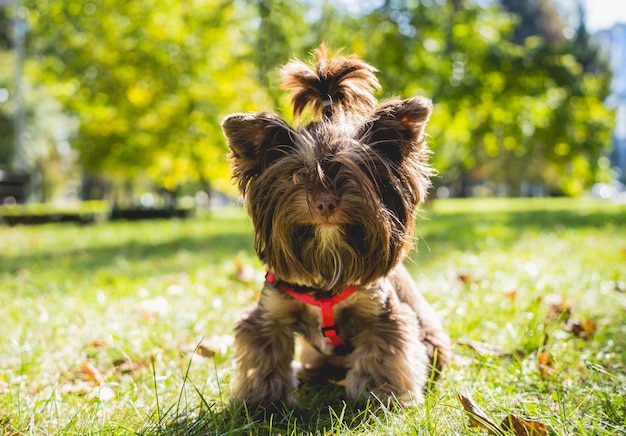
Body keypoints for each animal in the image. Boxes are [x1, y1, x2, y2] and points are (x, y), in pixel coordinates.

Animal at [219, 46, 448, 408]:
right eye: (299, 174)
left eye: (354, 172)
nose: (324, 202)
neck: (327, 264)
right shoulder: (270, 313)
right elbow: (264, 353)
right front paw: (264, 400)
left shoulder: (380, 313)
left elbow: (382, 353)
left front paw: (378, 393)